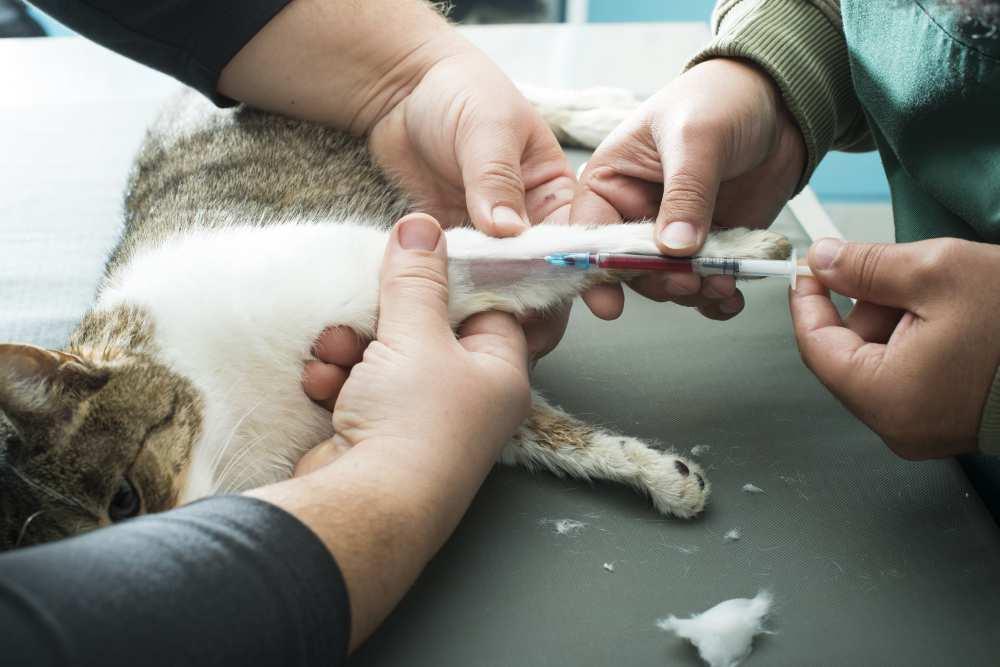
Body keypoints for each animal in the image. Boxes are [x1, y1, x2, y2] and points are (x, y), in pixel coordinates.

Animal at [0, 86, 788, 552]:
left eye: (123, 498)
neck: (231, 414)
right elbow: (541, 430)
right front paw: (657, 472)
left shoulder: (405, 256)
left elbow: (571, 246)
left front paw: (729, 247)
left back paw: (604, 113)